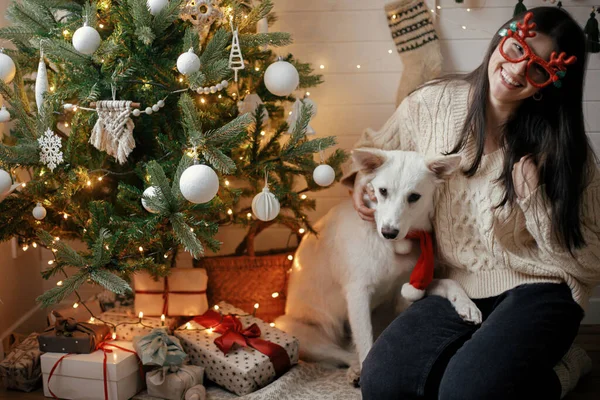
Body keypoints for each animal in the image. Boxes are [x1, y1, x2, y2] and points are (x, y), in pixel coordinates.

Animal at [276, 149, 482, 382]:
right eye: (382, 191)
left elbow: (448, 282)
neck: (392, 246)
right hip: (295, 330)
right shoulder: (357, 293)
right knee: (346, 352)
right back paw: (355, 370)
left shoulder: (407, 288)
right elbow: (366, 344)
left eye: (414, 197)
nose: (389, 232)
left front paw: (466, 305)